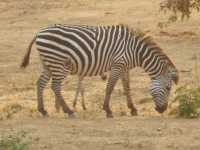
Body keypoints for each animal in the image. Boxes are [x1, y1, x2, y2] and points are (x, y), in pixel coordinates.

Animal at [21, 23, 179, 118]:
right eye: (168, 88)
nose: (162, 110)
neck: (136, 51)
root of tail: (39, 32)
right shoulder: (117, 65)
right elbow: (110, 87)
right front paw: (108, 110)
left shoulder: (124, 67)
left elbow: (127, 87)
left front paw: (132, 109)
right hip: (58, 63)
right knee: (55, 86)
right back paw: (69, 111)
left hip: (48, 63)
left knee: (40, 83)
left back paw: (43, 110)